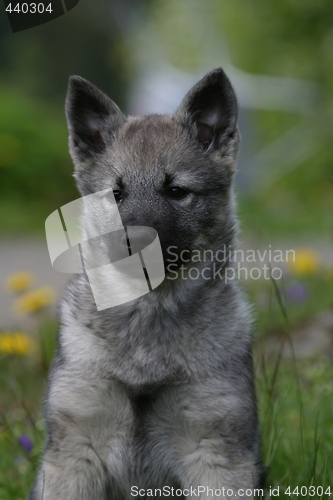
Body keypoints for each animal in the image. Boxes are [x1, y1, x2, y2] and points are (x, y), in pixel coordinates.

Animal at [27, 68, 262, 498]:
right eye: (114, 194)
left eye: (176, 191)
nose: (134, 244)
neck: (148, 315)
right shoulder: (76, 448)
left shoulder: (216, 451)